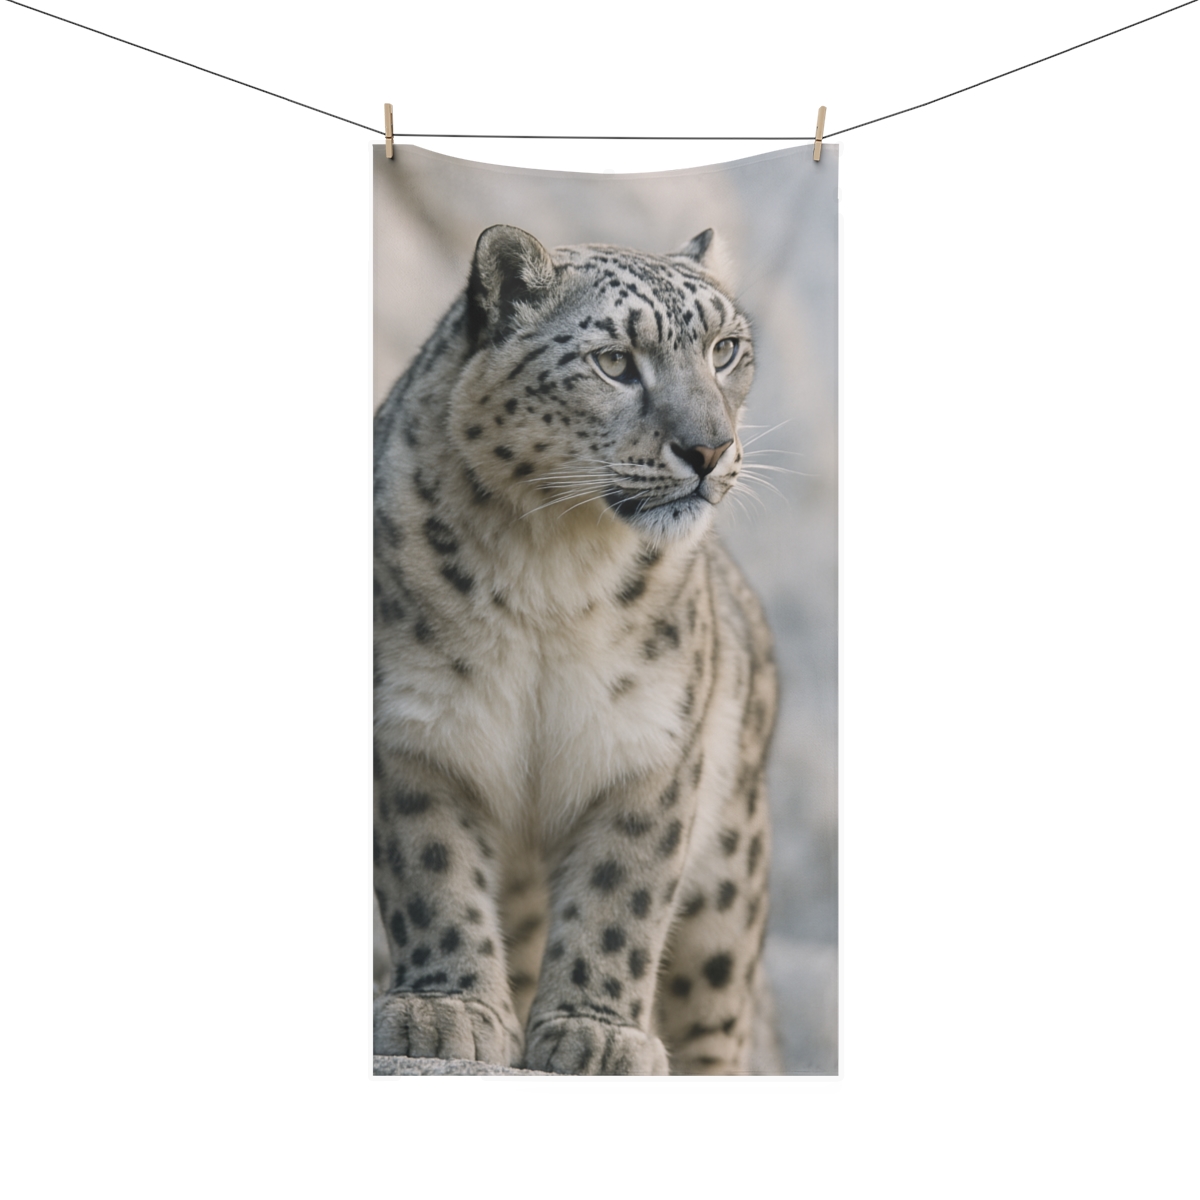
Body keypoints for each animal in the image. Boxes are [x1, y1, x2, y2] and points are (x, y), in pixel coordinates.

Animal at [373, 224, 779, 1074]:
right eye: (615, 361)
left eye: (725, 349)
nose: (710, 448)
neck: (553, 573)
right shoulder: (414, 731)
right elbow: (432, 874)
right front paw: (445, 1011)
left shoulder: (649, 748)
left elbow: (620, 897)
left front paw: (596, 1034)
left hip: (730, 887)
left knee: (719, 1020)